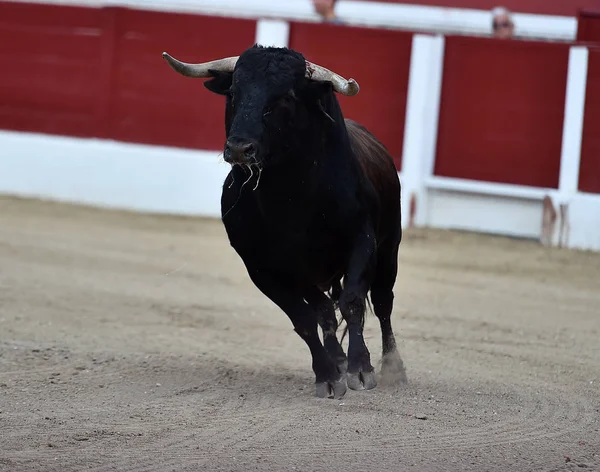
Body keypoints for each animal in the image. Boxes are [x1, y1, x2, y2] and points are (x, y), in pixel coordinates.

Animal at [163, 43, 408, 398]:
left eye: (285, 98)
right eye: (234, 91)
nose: (240, 148)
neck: (291, 200)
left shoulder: (363, 241)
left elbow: (352, 302)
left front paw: (361, 369)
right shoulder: (262, 268)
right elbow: (304, 319)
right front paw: (328, 375)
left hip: (390, 248)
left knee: (383, 302)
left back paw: (393, 367)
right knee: (324, 311)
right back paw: (337, 360)